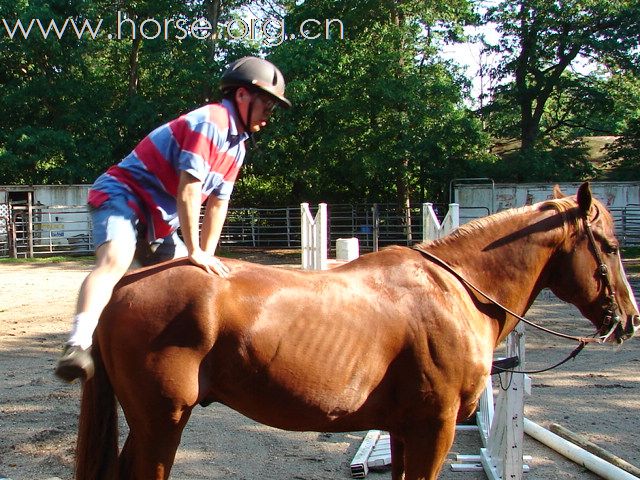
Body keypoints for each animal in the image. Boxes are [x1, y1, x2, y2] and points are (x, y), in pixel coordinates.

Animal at [74, 183, 636, 480]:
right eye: (609, 247)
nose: (629, 320)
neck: (455, 291)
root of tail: (123, 288)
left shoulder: (406, 429)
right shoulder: (436, 427)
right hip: (162, 422)